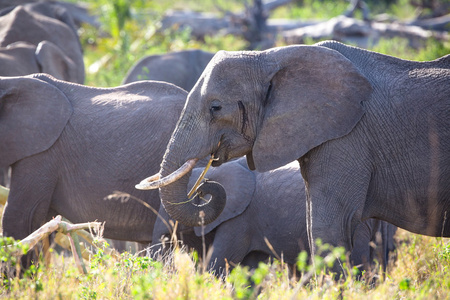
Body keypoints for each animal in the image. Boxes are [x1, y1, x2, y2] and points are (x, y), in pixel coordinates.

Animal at [150, 158, 394, 278]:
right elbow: (249, 272)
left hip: (357, 223)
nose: (203, 188)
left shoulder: (239, 220)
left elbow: (217, 266)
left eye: (171, 210)